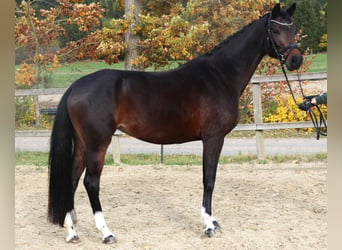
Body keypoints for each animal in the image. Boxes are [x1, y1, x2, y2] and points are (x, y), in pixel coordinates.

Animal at [47, 2, 302, 243]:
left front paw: (213, 221)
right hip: (98, 144)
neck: (220, 75)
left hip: (82, 144)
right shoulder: (213, 138)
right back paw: (106, 233)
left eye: (293, 29)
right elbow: (209, 179)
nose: (296, 59)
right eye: (275, 30)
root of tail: (76, 86)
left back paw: (72, 232)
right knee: (91, 182)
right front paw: (208, 225)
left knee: (71, 180)